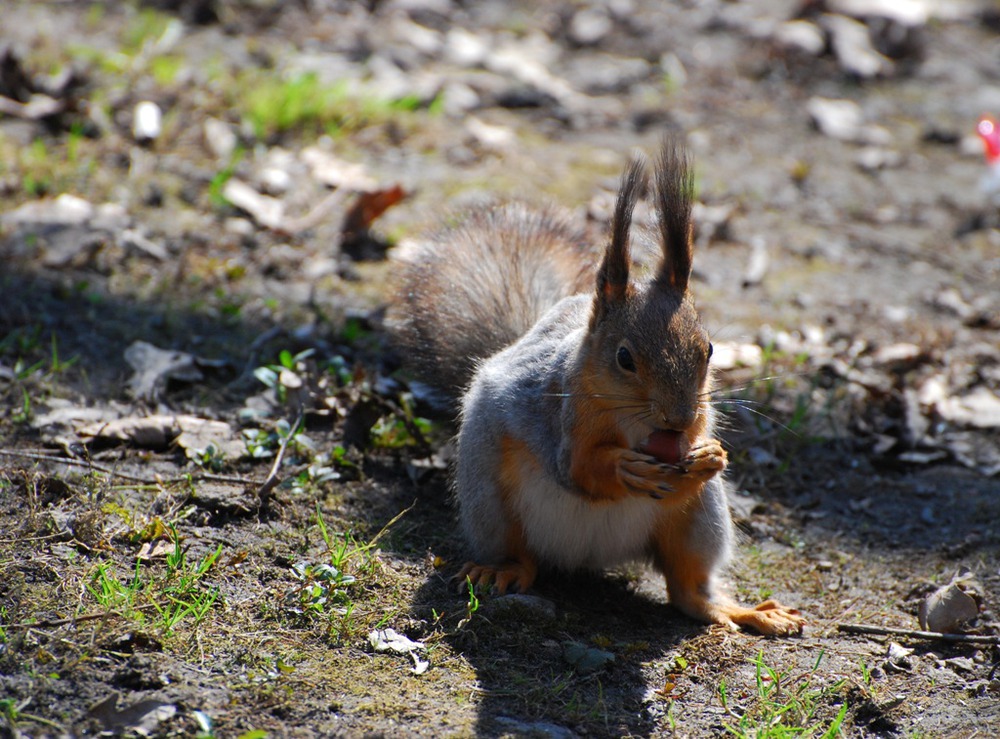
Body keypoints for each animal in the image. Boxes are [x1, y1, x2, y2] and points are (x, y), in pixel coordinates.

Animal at [388, 140, 804, 636]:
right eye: (624, 358)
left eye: (708, 349)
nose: (679, 418)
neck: (632, 419)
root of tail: (588, 556)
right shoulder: (560, 414)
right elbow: (578, 469)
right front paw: (623, 468)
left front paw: (710, 454)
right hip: (490, 500)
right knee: (520, 554)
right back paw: (500, 570)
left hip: (699, 523)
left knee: (687, 590)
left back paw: (745, 611)